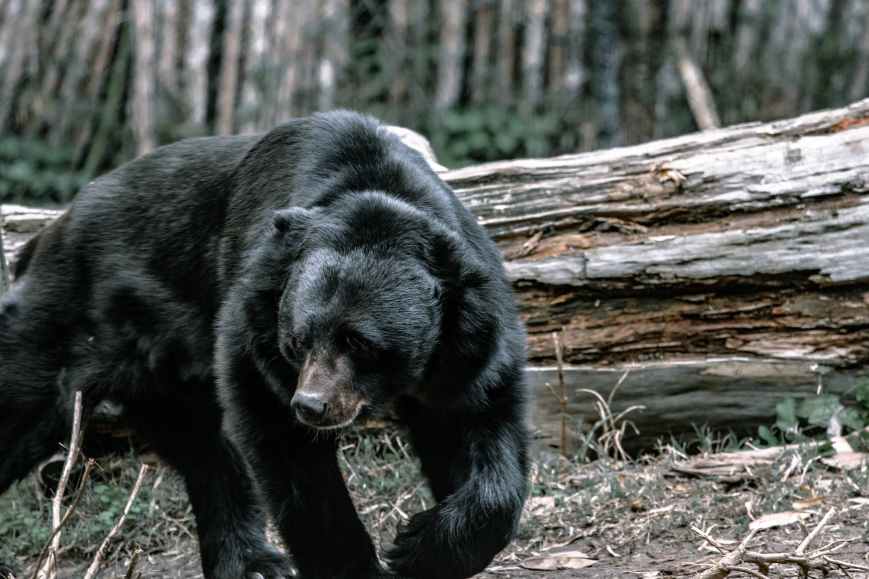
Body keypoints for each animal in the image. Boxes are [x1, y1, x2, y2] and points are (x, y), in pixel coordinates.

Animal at [0, 111, 530, 579]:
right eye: (297, 340)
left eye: (360, 342)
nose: (312, 405)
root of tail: (48, 233)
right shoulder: (254, 325)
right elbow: (287, 451)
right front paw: (361, 566)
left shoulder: (467, 342)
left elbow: (480, 425)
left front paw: (421, 546)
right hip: (67, 323)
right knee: (23, 402)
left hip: (164, 371)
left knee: (206, 452)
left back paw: (251, 562)